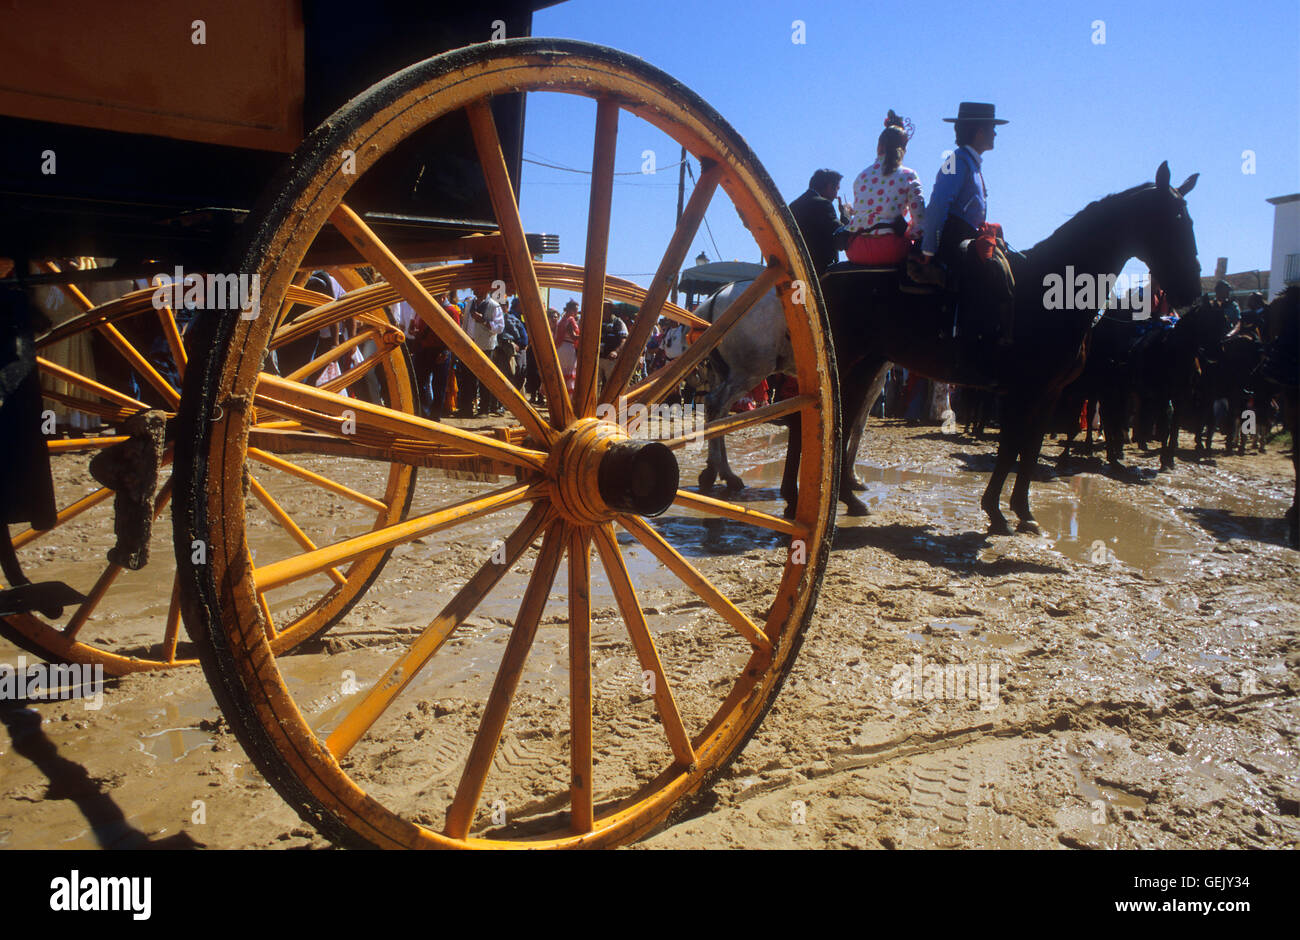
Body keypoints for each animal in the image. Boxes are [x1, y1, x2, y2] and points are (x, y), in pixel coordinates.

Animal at [780, 163, 1196, 535]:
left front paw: (1023, 512)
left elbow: (1028, 450)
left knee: (840, 421)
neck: (1050, 292)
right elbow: (1010, 447)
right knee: (812, 421)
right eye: (1172, 222)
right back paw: (797, 497)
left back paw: (844, 498)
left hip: (863, 365)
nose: (1189, 291)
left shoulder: (1048, 393)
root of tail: (819, 279)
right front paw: (997, 511)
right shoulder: (1023, 391)